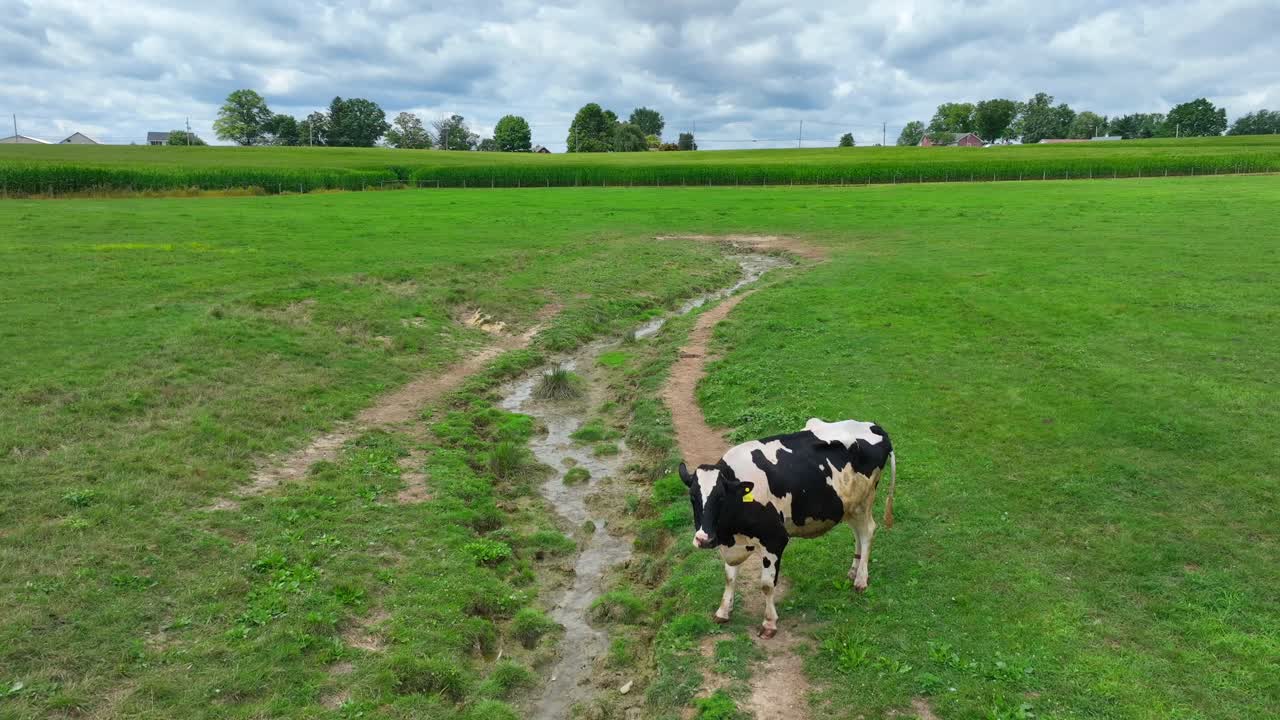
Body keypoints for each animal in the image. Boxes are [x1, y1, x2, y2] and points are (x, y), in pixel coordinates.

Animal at [678, 418, 896, 638]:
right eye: (692, 497)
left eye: (721, 498)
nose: (703, 539)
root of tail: (872, 425)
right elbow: (730, 577)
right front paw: (723, 611)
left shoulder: (775, 539)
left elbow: (767, 585)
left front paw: (769, 623)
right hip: (848, 505)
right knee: (857, 533)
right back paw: (853, 571)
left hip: (864, 500)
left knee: (867, 531)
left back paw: (861, 579)